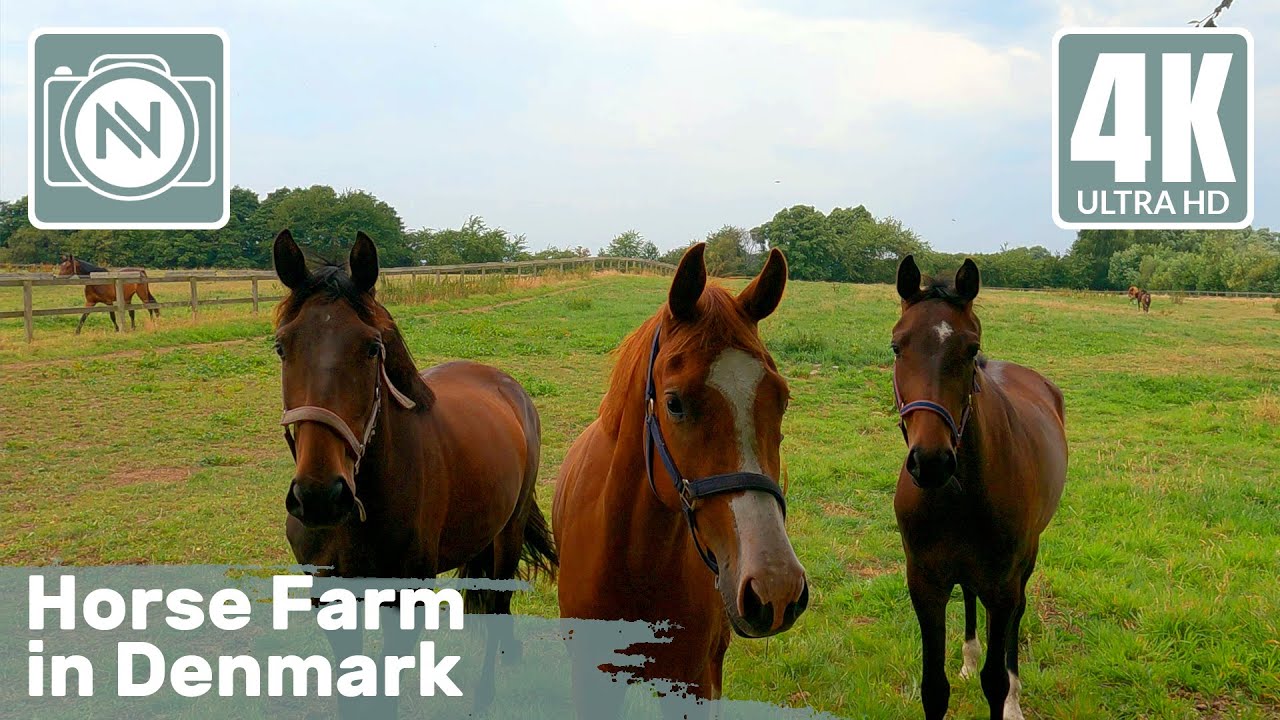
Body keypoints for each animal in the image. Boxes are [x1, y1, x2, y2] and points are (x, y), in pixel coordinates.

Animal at [271, 229, 556, 715]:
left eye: (372, 348)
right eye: (281, 347)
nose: (320, 496)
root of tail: (507, 385)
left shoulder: (405, 602)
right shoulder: (329, 597)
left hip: (509, 532)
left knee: (498, 608)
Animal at [553, 243, 808, 716]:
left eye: (781, 398)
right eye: (674, 404)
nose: (776, 585)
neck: (636, 563)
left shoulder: (692, 684)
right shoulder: (592, 680)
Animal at [891, 256, 1068, 720]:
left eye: (971, 349)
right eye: (897, 346)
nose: (931, 461)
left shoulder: (1002, 585)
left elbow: (995, 680)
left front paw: (1006, 696)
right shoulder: (924, 582)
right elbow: (934, 688)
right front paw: (966, 666)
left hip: (1024, 562)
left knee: (1017, 616)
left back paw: (1015, 697)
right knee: (969, 594)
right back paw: (969, 658)